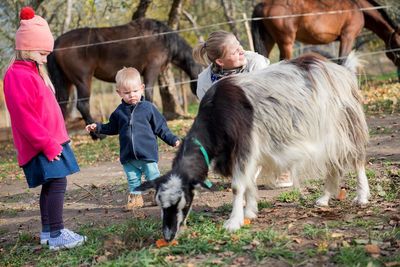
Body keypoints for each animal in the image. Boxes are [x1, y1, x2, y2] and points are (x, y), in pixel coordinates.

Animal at [48, 17, 202, 133]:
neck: (160, 37)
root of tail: (58, 42)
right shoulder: (152, 69)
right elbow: (149, 93)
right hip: (83, 80)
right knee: (83, 105)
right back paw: (97, 135)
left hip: (66, 82)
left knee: (62, 105)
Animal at [137, 52, 368, 243]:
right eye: (160, 204)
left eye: (182, 203)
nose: (168, 236)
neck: (216, 113)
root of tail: (341, 70)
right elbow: (248, 182)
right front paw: (249, 212)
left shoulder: (244, 144)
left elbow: (238, 185)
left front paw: (233, 222)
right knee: (333, 164)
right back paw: (324, 198)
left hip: (346, 124)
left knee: (356, 159)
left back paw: (362, 197)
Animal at [253, 0, 400, 70]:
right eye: (397, 44)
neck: (357, 6)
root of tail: (262, 4)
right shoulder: (348, 37)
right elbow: (342, 63)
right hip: (286, 43)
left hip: (269, 41)